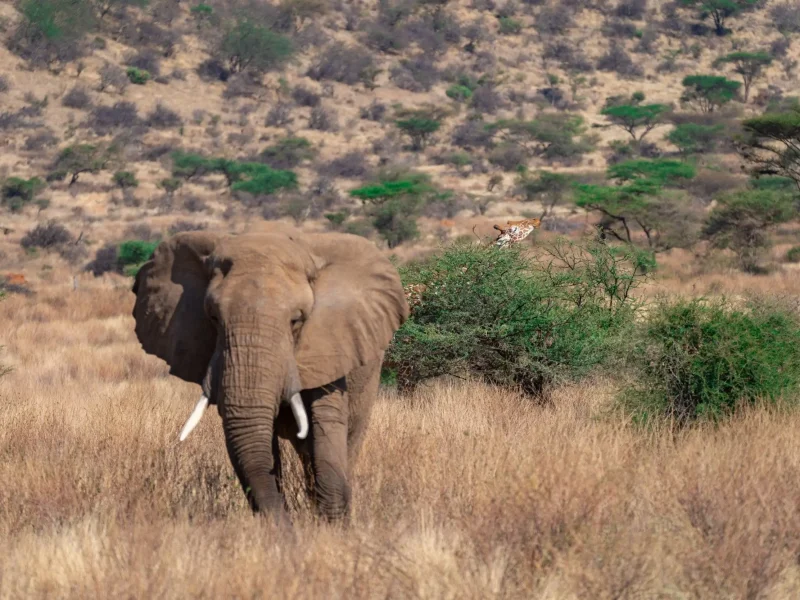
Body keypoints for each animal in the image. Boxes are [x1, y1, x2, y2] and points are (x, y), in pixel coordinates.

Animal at [130, 226, 409, 523]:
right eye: (213, 318)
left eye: (296, 320)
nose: (289, 530)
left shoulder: (330, 345)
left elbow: (326, 426)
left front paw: (332, 525)